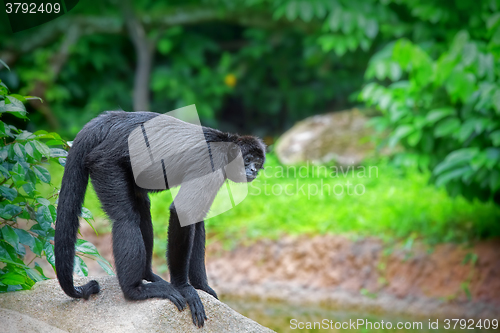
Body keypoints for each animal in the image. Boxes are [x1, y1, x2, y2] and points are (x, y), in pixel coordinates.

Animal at [53, 110, 266, 326]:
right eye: (248, 160)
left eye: (257, 164)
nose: (253, 170)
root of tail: (110, 120)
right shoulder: (213, 162)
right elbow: (184, 212)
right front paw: (184, 288)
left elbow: (195, 218)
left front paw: (202, 287)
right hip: (105, 163)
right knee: (126, 219)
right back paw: (135, 290)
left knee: (142, 209)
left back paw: (147, 275)